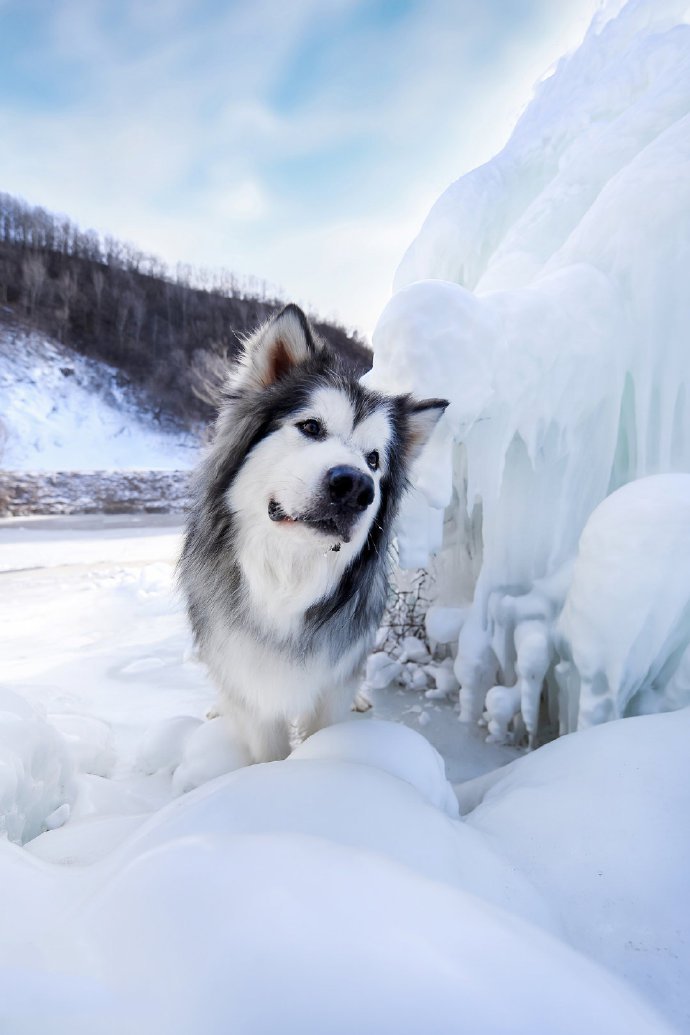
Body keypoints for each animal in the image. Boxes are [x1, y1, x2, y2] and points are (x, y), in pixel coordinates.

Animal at [177, 302, 448, 765]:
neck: (289, 576)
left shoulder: (331, 683)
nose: (355, 487)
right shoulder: (251, 684)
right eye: (311, 427)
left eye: (374, 460)